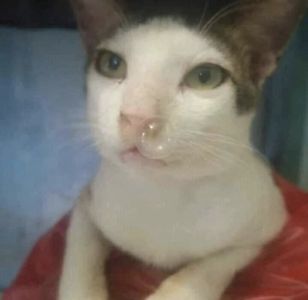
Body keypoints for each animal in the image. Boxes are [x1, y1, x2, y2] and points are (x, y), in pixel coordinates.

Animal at [58, 0, 306, 300]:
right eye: (111, 64)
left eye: (205, 77)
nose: (137, 118)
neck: (163, 192)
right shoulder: (87, 203)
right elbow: (79, 260)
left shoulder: (266, 222)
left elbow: (207, 269)